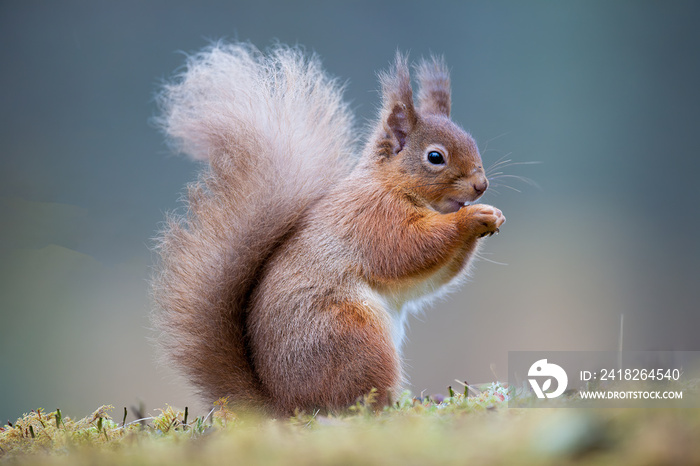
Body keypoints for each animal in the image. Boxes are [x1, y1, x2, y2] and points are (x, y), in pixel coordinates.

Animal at [152, 42, 504, 416]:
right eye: (435, 157)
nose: (481, 186)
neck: (391, 184)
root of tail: (283, 406)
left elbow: (430, 277)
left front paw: (493, 216)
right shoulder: (373, 219)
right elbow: (409, 249)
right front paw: (473, 217)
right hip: (353, 337)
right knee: (353, 403)